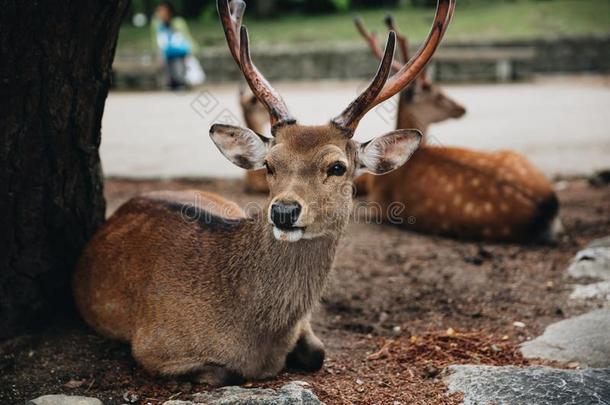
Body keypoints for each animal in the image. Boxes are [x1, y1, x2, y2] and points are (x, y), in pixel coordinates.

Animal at [71, 0, 454, 386]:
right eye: (269, 164)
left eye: (337, 167)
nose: (283, 211)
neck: (258, 336)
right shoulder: (152, 345)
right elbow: (221, 373)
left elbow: (318, 353)